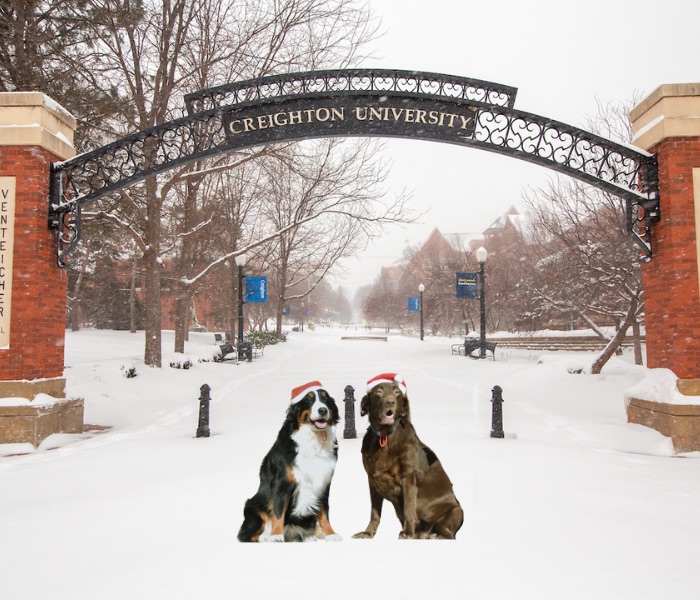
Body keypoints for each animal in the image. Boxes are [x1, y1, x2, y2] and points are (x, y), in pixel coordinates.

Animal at [237, 384, 344, 544]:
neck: (313, 440)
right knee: (246, 535)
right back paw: (265, 536)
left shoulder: (324, 482)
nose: (323, 410)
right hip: (252, 507)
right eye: (308, 399)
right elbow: (279, 510)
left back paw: (311, 535)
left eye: (326, 399)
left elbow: (324, 512)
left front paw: (331, 533)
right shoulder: (283, 481)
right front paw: (276, 535)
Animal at [352, 372, 462, 540]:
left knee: (449, 535)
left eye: (397, 392)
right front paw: (368, 533)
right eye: (379, 391)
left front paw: (407, 533)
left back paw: (432, 535)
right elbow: (375, 513)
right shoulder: (372, 480)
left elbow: (409, 508)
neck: (385, 436)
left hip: (456, 511)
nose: (390, 402)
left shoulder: (409, 478)